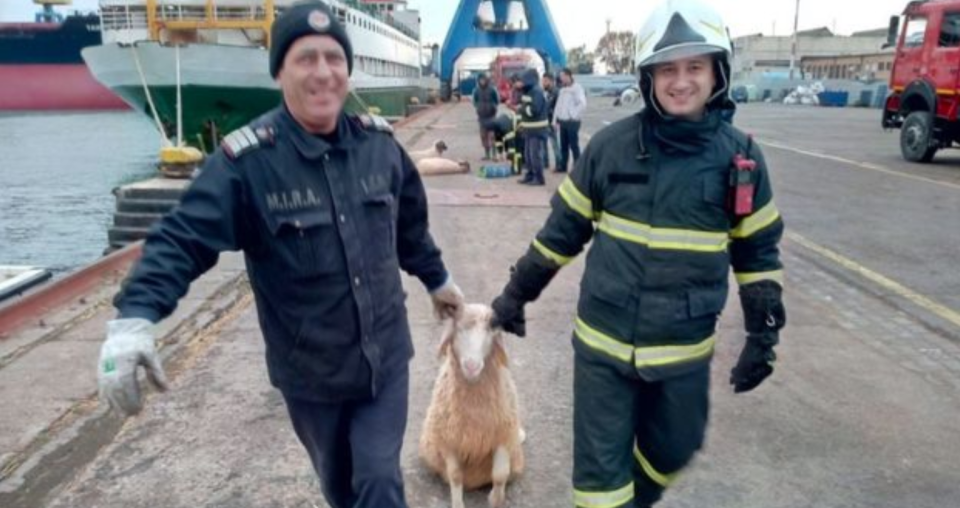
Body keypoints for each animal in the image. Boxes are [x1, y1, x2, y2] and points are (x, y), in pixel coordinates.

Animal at [420, 304, 524, 506]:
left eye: (490, 332)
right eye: (458, 329)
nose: (471, 366)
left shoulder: (503, 434)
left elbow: (500, 475)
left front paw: (495, 500)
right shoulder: (448, 440)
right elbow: (455, 476)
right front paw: (457, 504)